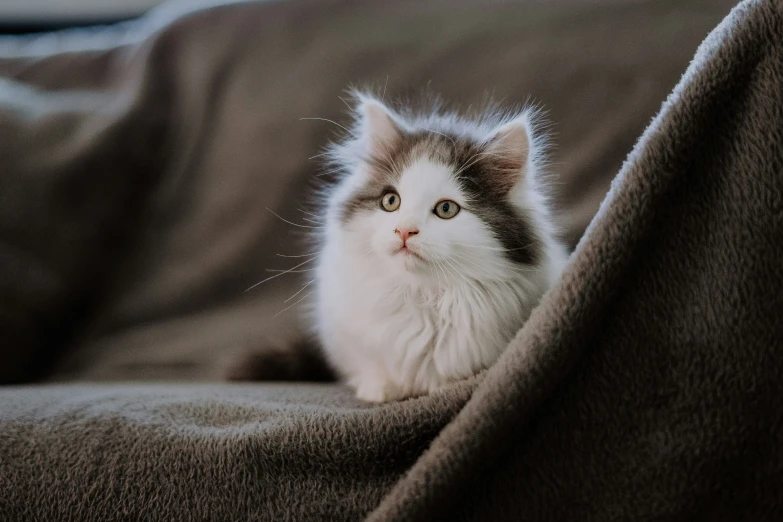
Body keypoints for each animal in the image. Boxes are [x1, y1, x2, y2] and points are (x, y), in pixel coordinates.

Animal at [306, 92, 568, 402]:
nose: (404, 230)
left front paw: (443, 389)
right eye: (391, 201)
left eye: (446, 209)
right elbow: (374, 367)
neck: (423, 296)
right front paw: (377, 390)